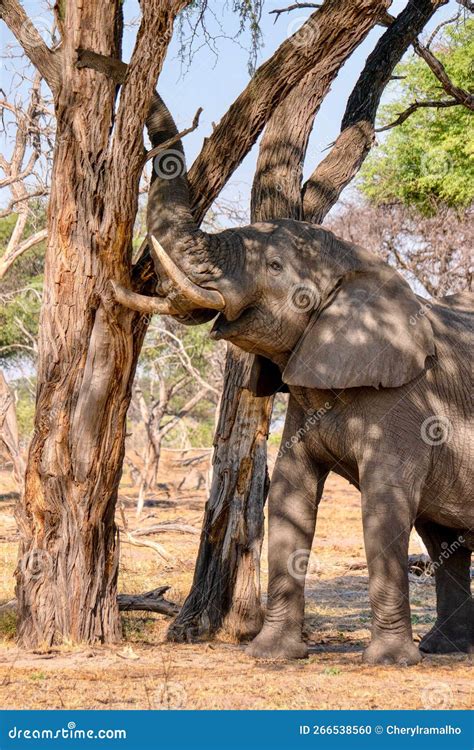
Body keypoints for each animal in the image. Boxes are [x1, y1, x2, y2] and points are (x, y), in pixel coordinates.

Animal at [113, 96, 473, 665]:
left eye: (276, 267)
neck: (360, 265)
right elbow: (287, 494)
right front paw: (271, 654)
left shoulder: (408, 402)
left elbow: (385, 502)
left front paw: (387, 663)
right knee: (443, 537)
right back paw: (445, 648)